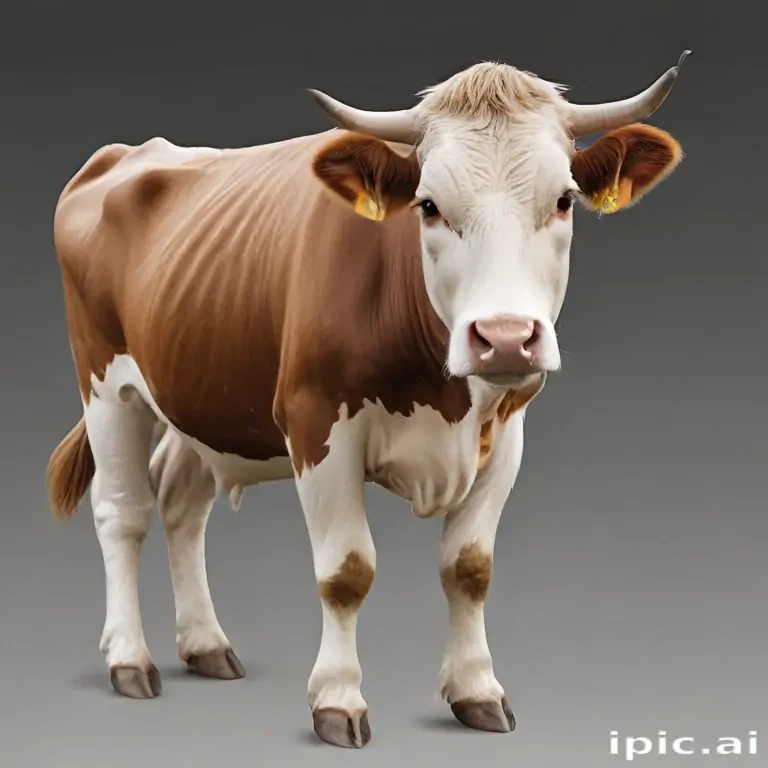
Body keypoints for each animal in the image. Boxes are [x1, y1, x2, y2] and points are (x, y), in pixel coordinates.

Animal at [47, 51, 691, 748]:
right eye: (428, 205)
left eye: (565, 200)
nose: (505, 337)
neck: (444, 392)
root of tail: (124, 153)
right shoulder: (316, 424)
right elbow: (346, 571)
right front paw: (337, 699)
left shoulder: (508, 432)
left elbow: (470, 568)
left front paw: (477, 690)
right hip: (107, 385)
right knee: (123, 512)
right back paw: (129, 660)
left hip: (199, 393)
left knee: (181, 504)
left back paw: (206, 646)